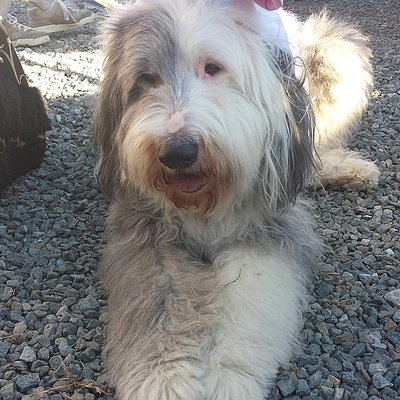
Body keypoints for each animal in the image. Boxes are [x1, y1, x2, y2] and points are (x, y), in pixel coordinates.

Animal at [93, 1, 378, 398]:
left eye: (213, 67)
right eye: (146, 78)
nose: (178, 152)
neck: (206, 204)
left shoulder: (266, 231)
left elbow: (245, 299)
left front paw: (225, 375)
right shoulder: (147, 238)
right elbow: (158, 307)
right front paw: (166, 379)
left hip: (335, 57)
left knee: (319, 143)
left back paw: (347, 169)